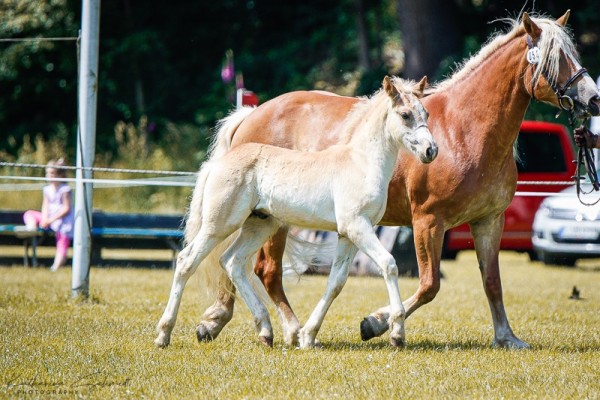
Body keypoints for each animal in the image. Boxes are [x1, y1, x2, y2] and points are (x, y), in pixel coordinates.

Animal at [154, 76, 436, 350]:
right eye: (405, 114)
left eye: (426, 113)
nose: (431, 150)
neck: (360, 163)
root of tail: (216, 163)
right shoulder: (357, 226)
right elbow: (388, 264)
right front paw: (397, 333)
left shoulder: (347, 234)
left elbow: (336, 282)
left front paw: (308, 336)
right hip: (219, 225)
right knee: (186, 261)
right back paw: (164, 335)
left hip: (259, 226)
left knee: (232, 262)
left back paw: (266, 331)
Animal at [191, 8, 600, 346]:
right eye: (555, 59)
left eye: (573, 54)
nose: (593, 98)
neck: (465, 130)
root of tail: (252, 115)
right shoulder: (428, 222)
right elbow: (429, 285)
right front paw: (377, 323)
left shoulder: (489, 221)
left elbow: (492, 282)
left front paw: (506, 337)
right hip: (271, 221)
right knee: (264, 270)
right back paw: (283, 328)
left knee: (237, 264)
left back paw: (221, 321)